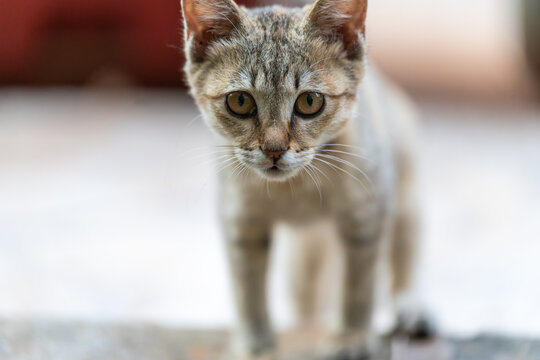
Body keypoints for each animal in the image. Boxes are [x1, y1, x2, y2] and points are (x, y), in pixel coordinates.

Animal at [181, 0, 434, 360]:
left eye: (310, 101)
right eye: (240, 101)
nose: (274, 150)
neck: (294, 189)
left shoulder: (367, 213)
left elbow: (358, 287)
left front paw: (351, 338)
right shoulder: (241, 222)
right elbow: (248, 292)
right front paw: (255, 346)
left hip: (405, 198)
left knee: (405, 252)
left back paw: (411, 306)